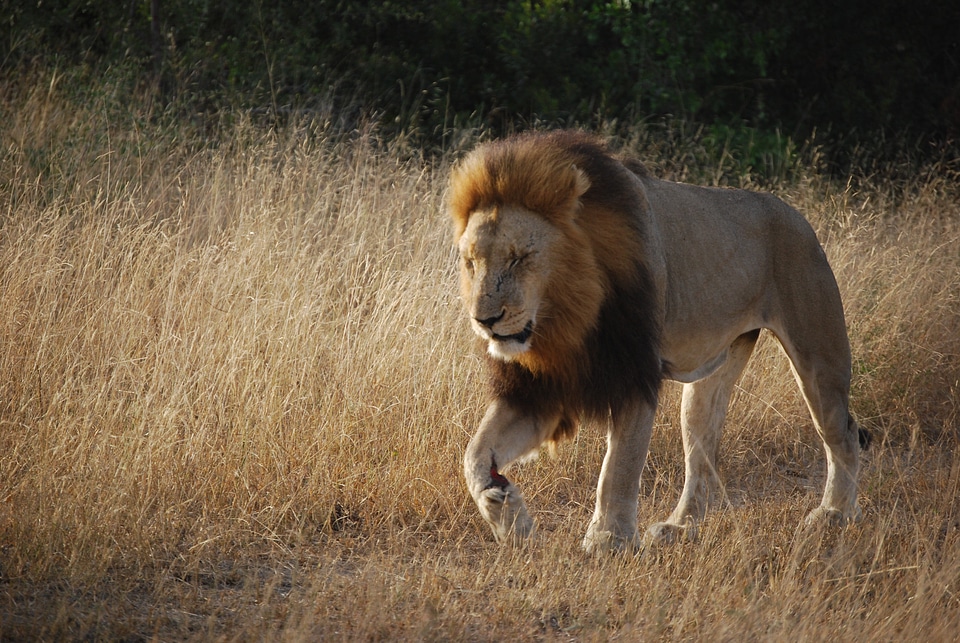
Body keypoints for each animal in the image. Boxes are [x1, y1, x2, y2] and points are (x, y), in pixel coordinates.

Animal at [446, 131, 868, 552]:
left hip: (817, 353)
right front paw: (507, 514)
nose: (484, 320)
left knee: (842, 433)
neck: (566, 317)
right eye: (471, 261)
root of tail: (796, 213)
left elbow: (619, 466)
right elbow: (474, 453)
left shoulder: (634, 373)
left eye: (520, 258)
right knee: (703, 452)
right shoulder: (540, 389)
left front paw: (607, 541)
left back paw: (833, 514)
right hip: (711, 376)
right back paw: (679, 526)